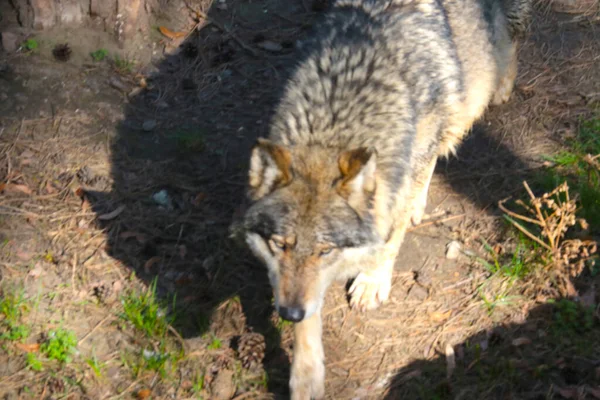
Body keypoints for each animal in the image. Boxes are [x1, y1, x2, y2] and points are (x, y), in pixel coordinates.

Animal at [234, 0, 528, 396]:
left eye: (326, 250)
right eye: (280, 245)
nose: (288, 313)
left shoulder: (406, 164)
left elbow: (389, 237)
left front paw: (373, 280)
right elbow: (308, 312)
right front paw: (306, 375)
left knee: (506, 48)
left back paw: (503, 85)